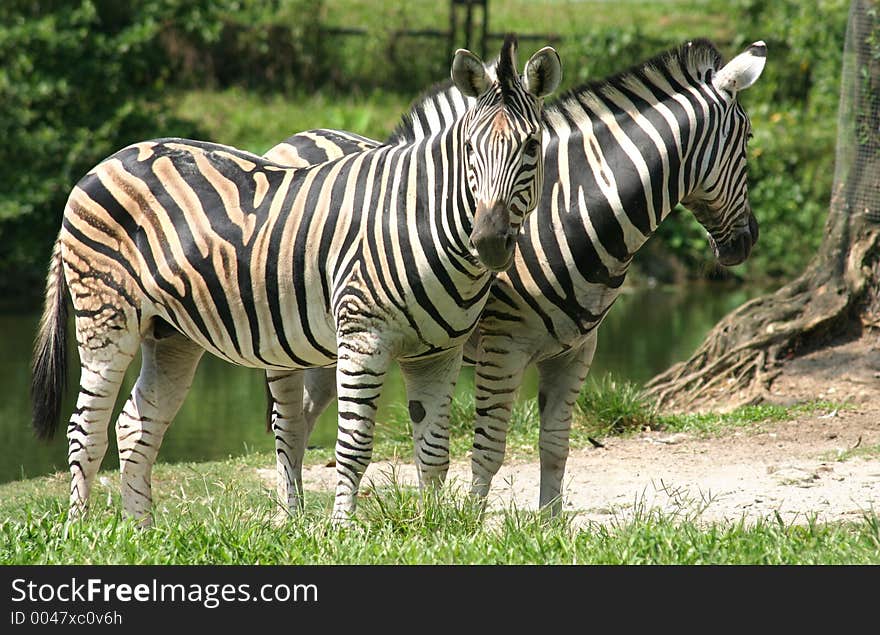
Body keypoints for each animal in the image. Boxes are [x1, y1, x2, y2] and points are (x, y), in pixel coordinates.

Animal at [32, 37, 564, 528]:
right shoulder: (363, 339)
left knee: (135, 427)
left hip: (171, 334)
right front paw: (344, 531)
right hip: (105, 319)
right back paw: (81, 530)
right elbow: (354, 447)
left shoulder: (437, 353)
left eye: (532, 146)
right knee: (86, 429)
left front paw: (431, 529)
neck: (415, 214)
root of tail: (103, 162)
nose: (490, 241)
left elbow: (434, 449)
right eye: (470, 149)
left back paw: (141, 531)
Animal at [264, 38, 768, 516]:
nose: (747, 243)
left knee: (302, 418)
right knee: (286, 423)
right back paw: (292, 516)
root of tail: (300, 135)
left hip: (324, 342)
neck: (568, 212)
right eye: (748, 137)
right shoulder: (502, 346)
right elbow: (489, 449)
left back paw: (298, 514)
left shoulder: (577, 350)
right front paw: (470, 524)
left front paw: (550, 527)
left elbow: (556, 446)